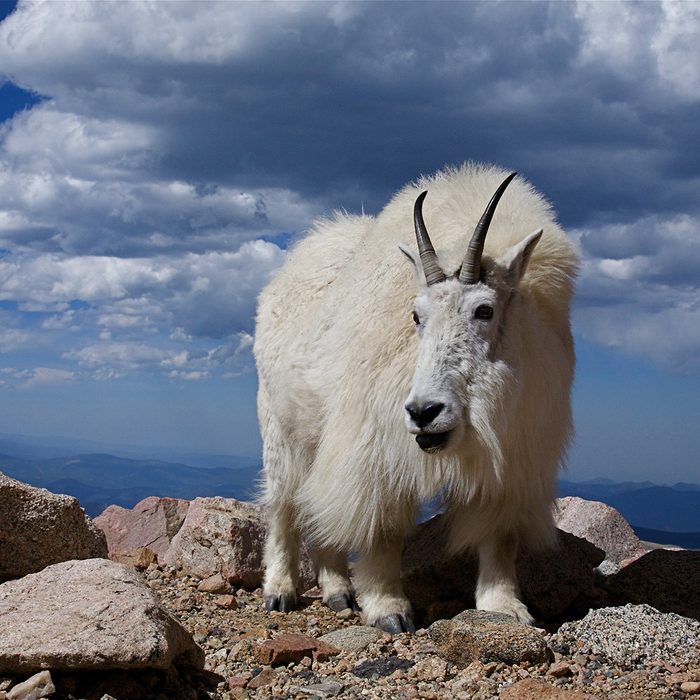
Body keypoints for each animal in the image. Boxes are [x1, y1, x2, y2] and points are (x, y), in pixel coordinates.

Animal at [254, 165, 576, 636]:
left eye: (484, 310)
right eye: (416, 315)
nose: (425, 413)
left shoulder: (514, 455)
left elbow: (499, 534)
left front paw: (504, 607)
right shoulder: (376, 444)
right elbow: (383, 527)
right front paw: (389, 609)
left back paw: (338, 592)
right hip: (279, 426)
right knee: (284, 502)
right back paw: (280, 590)